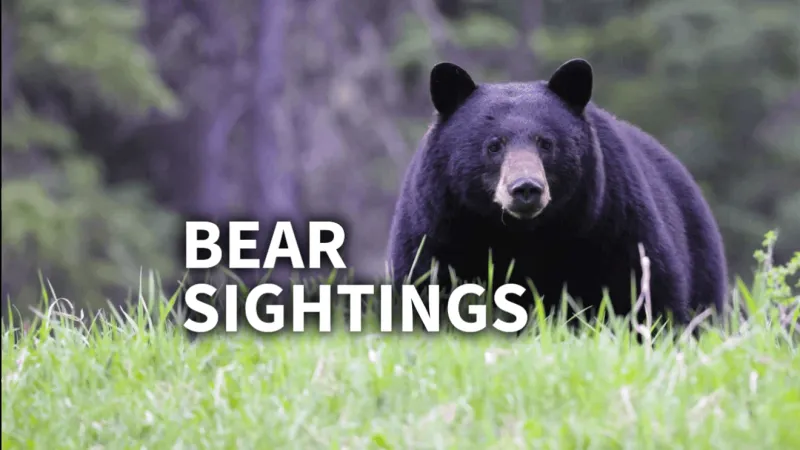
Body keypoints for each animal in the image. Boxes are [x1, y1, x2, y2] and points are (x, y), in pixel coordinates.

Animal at [387, 58, 729, 328]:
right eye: (494, 145)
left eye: (546, 143)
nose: (526, 188)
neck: (521, 234)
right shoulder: (437, 228)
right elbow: (425, 285)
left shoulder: (614, 223)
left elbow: (646, 293)